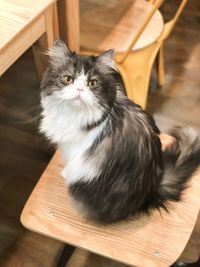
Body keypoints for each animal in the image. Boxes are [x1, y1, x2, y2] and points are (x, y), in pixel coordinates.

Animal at [39, 39, 200, 224]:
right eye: (68, 79)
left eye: (92, 83)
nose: (79, 90)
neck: (74, 114)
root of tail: (150, 190)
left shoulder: (75, 151)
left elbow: (70, 164)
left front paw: (65, 173)